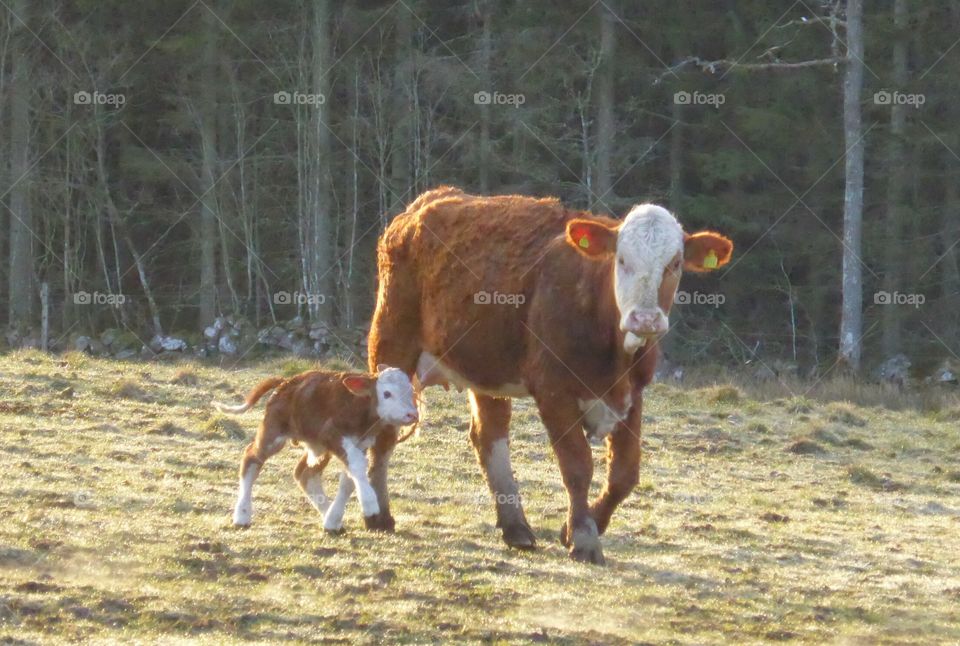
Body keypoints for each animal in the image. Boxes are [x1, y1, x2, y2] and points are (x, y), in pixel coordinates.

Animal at [216, 368, 418, 536]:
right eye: (387, 393)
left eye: (410, 390)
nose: (412, 415)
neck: (359, 406)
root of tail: (286, 382)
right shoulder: (334, 435)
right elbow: (357, 467)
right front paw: (369, 505)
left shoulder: (361, 444)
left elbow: (348, 480)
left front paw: (333, 520)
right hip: (272, 433)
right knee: (251, 458)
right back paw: (242, 516)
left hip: (318, 448)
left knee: (304, 474)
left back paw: (331, 520)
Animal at [368, 186, 736, 560]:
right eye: (621, 260)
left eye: (674, 264)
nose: (645, 319)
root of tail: (426, 202)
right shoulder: (554, 390)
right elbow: (577, 466)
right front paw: (584, 538)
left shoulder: (633, 394)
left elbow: (624, 473)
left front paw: (577, 528)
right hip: (392, 344)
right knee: (383, 430)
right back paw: (379, 516)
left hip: (487, 367)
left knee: (490, 436)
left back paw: (515, 527)